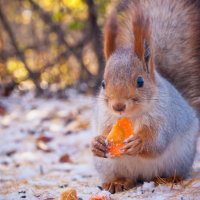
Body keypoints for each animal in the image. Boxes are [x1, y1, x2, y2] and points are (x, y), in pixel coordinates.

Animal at [91, 0, 199, 194]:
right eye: (103, 83)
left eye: (140, 81)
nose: (118, 106)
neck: (131, 117)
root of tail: (143, 176)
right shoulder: (105, 116)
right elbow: (104, 130)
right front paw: (97, 143)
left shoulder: (165, 117)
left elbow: (157, 140)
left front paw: (138, 143)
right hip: (108, 167)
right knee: (126, 177)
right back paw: (118, 182)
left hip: (181, 158)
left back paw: (171, 178)